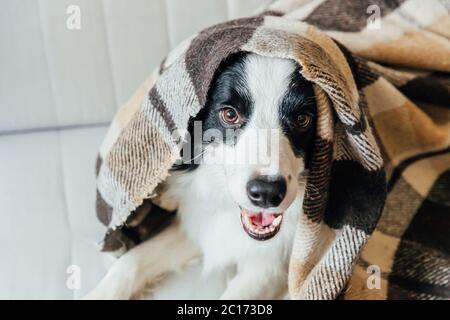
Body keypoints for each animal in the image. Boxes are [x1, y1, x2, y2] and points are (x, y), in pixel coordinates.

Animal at [84, 51, 316, 298]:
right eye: (230, 114)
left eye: (302, 119)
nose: (267, 193)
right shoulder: (198, 223)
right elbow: (131, 261)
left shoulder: (270, 265)